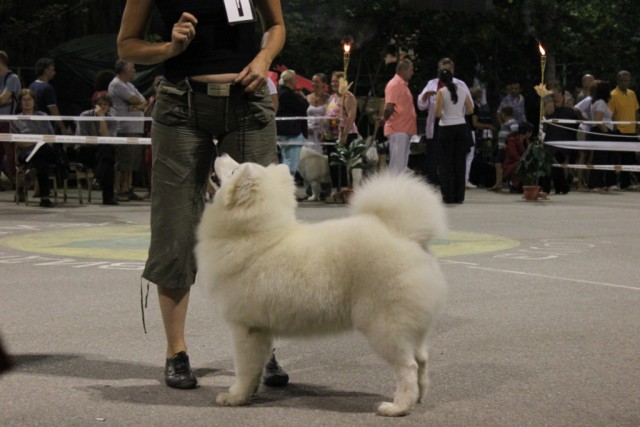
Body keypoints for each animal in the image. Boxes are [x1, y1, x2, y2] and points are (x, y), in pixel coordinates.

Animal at [198, 155, 448, 418]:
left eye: (233, 170)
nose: (221, 154)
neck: (255, 235)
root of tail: (404, 233)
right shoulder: (261, 330)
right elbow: (255, 368)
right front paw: (249, 394)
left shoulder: (244, 328)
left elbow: (244, 367)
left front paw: (235, 397)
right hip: (412, 328)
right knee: (422, 360)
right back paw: (418, 396)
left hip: (385, 326)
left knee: (407, 366)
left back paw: (397, 407)